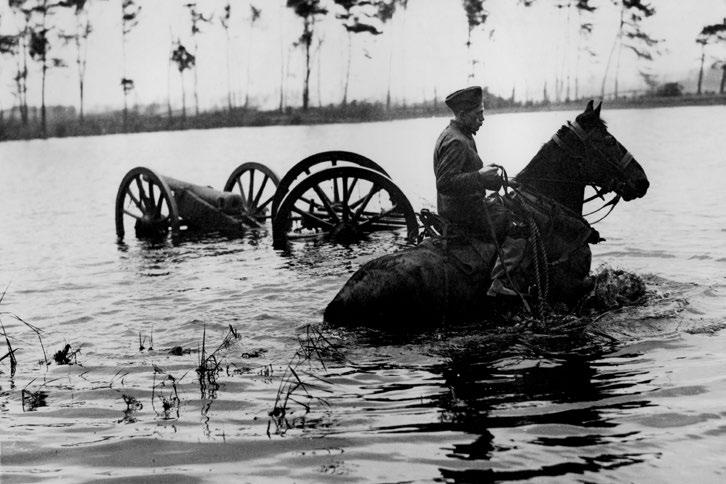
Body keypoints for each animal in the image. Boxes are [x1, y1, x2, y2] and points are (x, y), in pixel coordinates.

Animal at [326, 102, 656, 328]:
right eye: (608, 140)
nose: (642, 181)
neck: (550, 210)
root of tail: (343, 296)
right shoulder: (569, 285)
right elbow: (600, 286)